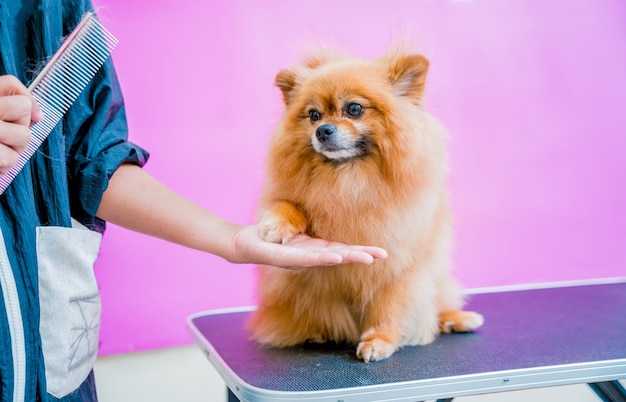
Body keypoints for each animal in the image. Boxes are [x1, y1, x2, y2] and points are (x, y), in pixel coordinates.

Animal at [246, 45, 480, 362]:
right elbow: (288, 205)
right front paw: (277, 223)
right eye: (313, 114)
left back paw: (457, 319)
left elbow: (389, 306)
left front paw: (379, 340)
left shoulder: (402, 264)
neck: (350, 177)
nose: (323, 130)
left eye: (354, 109)